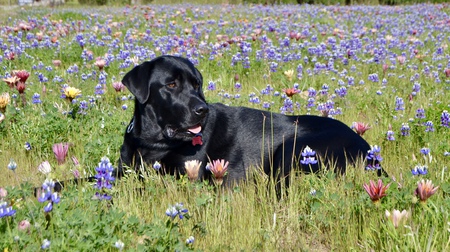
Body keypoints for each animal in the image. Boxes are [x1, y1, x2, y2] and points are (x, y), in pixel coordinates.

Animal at [118, 55, 382, 185]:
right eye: (171, 84)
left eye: (196, 84)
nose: (203, 110)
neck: (153, 143)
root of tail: (369, 151)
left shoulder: (187, 174)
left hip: (292, 150)